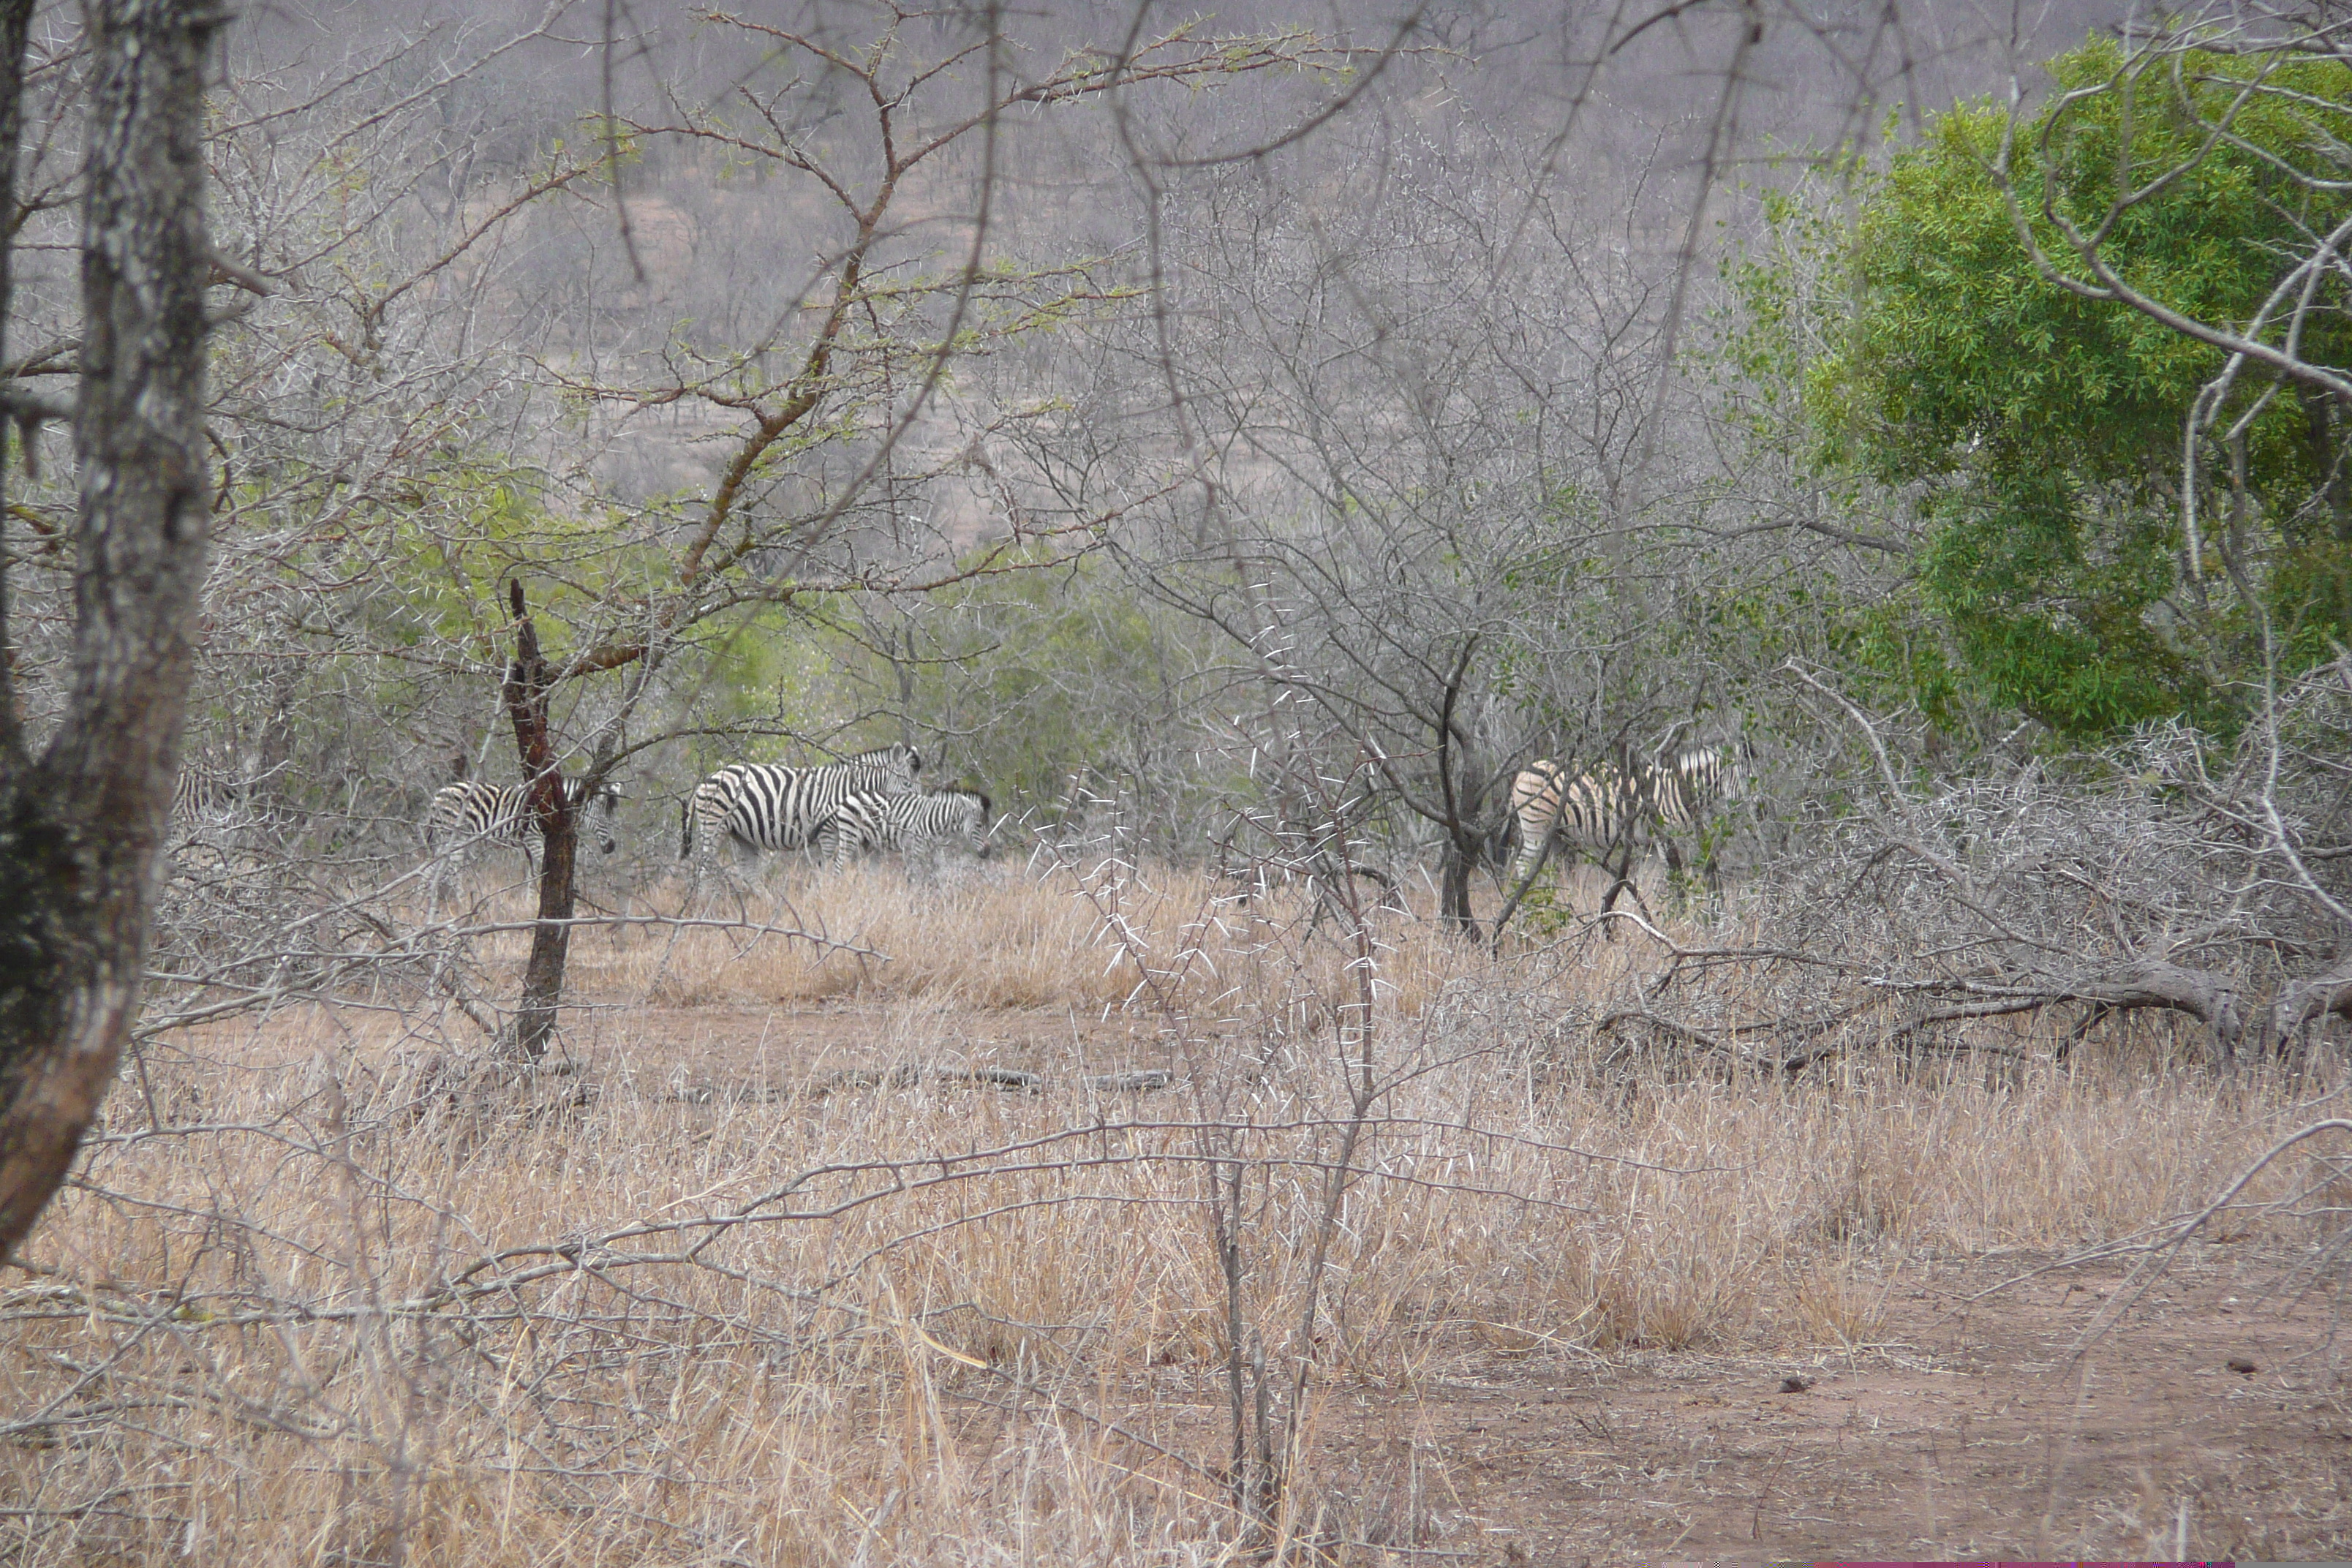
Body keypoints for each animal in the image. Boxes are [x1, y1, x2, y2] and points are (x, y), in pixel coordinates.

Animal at [428, 775, 621, 889]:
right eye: (602, 820)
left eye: (614, 819)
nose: (612, 847)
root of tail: (439, 793)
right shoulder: (532, 840)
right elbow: (541, 872)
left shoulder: (532, 844)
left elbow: (532, 875)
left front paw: (529, 904)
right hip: (454, 837)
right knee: (453, 872)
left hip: (444, 838)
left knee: (432, 869)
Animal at [677, 742, 921, 879]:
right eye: (907, 784)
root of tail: (707, 780)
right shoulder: (828, 833)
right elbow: (828, 869)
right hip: (713, 825)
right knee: (705, 868)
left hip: (742, 834)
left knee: (749, 874)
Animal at [818, 790, 992, 879]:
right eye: (979, 826)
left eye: (988, 826)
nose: (987, 852)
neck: (937, 820)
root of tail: (847, 798)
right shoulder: (915, 848)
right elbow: (914, 875)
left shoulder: (936, 849)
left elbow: (941, 872)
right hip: (850, 834)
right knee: (839, 864)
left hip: (863, 840)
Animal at [1515, 742, 1759, 902]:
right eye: (1745, 778)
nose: (1762, 809)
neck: (1678, 789)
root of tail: (1525, 769)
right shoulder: (1664, 836)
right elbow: (1674, 878)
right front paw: (1678, 914)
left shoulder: (1651, 843)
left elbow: (1657, 880)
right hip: (1536, 827)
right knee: (1523, 866)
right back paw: (1525, 910)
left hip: (1556, 835)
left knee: (1545, 873)